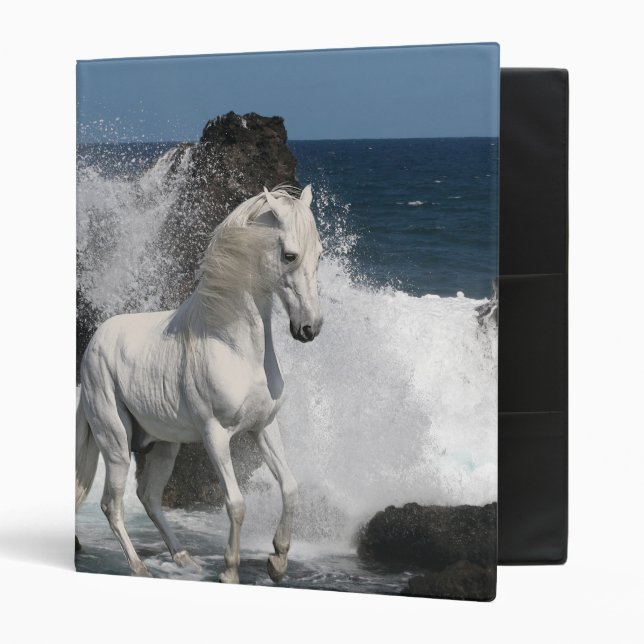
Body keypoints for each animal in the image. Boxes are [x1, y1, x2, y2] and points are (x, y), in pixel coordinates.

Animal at [75, 185, 323, 583]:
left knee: (149, 497)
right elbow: (236, 504)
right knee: (111, 505)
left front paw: (278, 560)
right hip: (115, 444)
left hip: (164, 446)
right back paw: (140, 568)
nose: (309, 329)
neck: (233, 344)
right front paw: (230, 571)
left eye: (319, 254)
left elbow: (290, 487)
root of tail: (94, 343)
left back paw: (184, 559)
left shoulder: (264, 427)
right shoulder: (215, 435)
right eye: (289, 255)